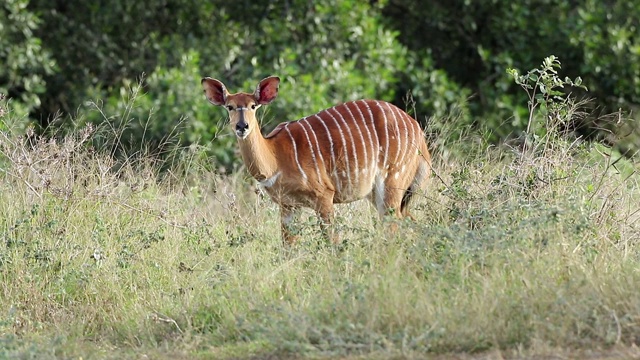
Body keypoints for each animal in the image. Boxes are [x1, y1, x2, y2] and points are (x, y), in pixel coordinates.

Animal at [200, 76, 430, 245]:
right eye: (229, 106)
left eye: (253, 105)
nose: (242, 126)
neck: (275, 159)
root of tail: (418, 131)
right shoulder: (288, 205)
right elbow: (288, 246)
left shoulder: (324, 196)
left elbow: (332, 242)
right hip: (381, 194)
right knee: (409, 222)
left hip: (393, 181)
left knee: (394, 227)